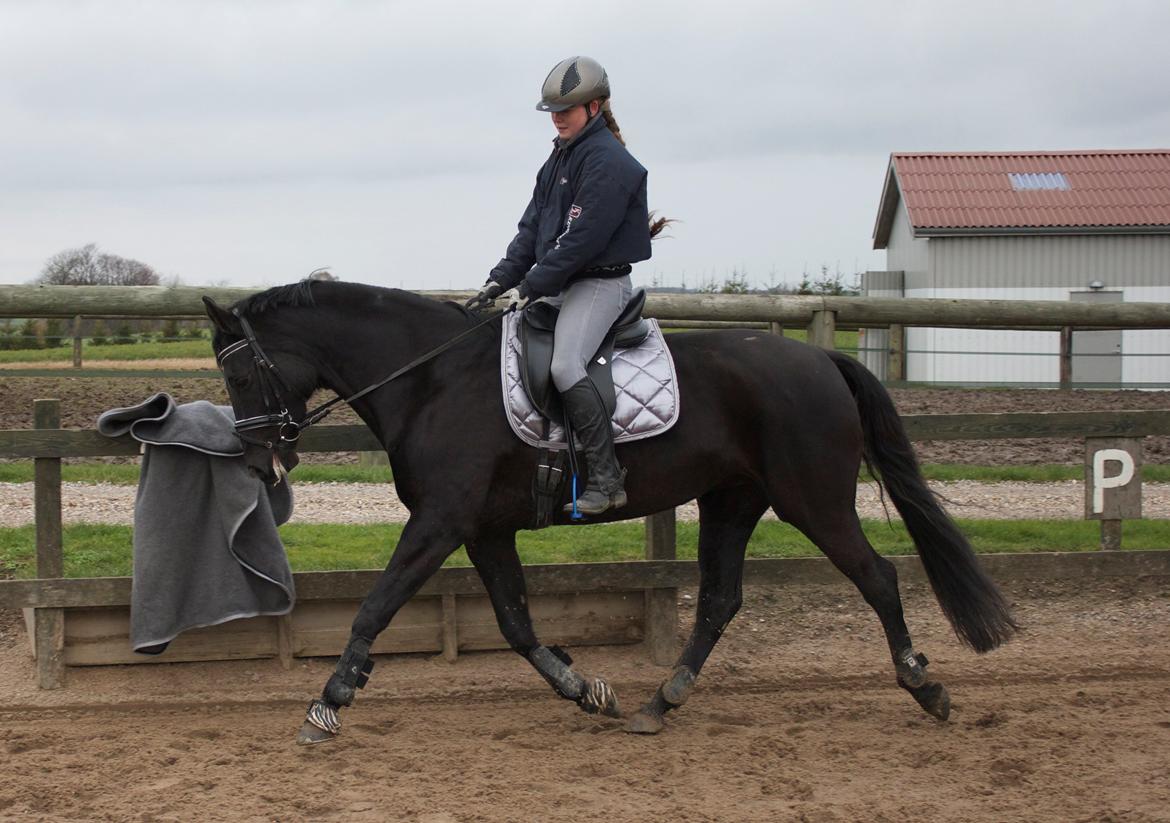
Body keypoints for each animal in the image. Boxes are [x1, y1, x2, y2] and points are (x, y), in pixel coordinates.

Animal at [201, 283, 1015, 749]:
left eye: (238, 374)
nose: (259, 460)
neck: (432, 378)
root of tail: (823, 362)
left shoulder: (440, 520)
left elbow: (375, 606)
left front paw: (328, 703)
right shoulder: (484, 529)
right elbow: (516, 624)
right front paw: (585, 689)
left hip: (811, 499)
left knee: (877, 578)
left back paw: (925, 686)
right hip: (731, 501)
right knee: (720, 599)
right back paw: (659, 702)